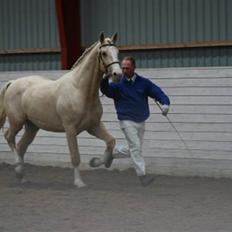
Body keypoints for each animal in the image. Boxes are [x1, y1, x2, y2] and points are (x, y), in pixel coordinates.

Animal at [0, 32, 121, 188]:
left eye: (117, 51)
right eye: (104, 53)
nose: (118, 74)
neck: (80, 90)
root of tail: (13, 82)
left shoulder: (93, 126)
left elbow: (111, 141)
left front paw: (99, 162)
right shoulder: (70, 129)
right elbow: (75, 156)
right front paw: (79, 182)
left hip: (32, 126)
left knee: (21, 146)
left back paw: (21, 177)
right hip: (17, 121)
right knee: (9, 137)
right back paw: (18, 168)